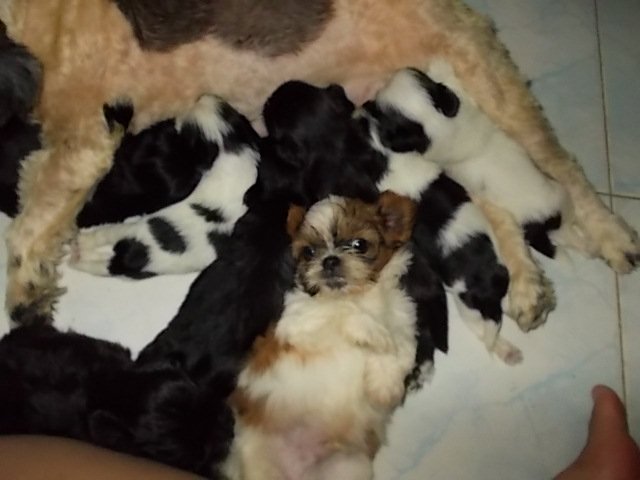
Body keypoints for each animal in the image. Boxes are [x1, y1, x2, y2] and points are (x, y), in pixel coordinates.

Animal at [3, 0, 637, 325]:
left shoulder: (86, 136)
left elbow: (36, 216)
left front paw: (24, 287)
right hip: (445, 127)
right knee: (493, 202)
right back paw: (527, 285)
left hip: (490, 90)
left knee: (563, 170)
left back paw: (610, 238)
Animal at [223, 192, 418, 480]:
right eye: (309, 252)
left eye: (359, 245)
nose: (330, 260)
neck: (360, 296)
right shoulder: (298, 325)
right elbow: (341, 312)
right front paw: (373, 334)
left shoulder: (403, 318)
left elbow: (403, 348)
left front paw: (385, 386)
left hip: (348, 465)